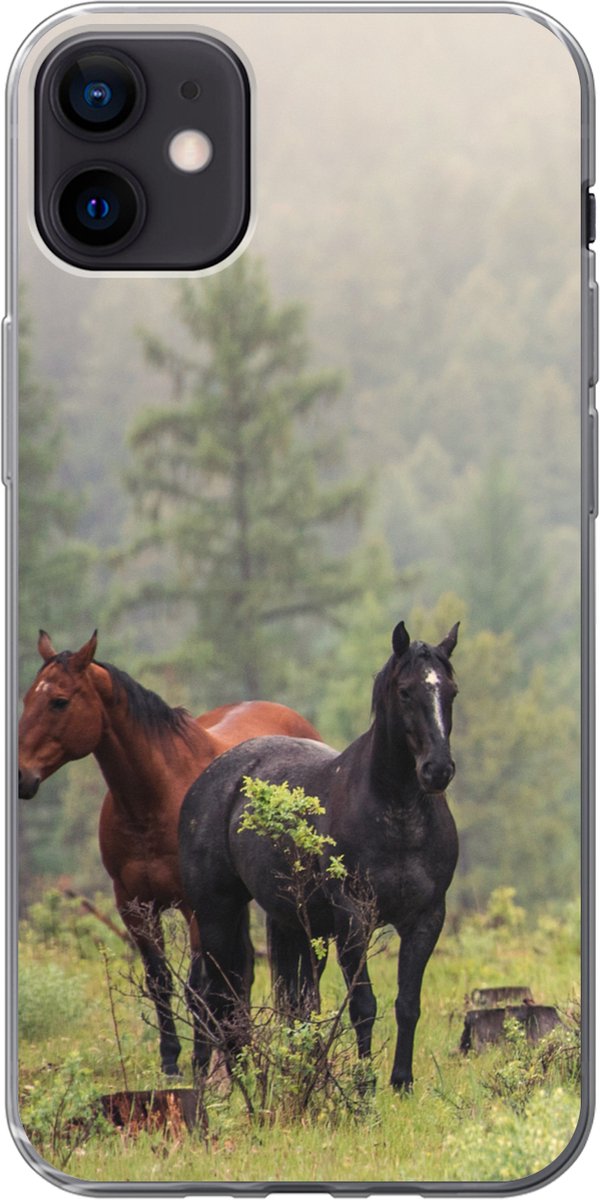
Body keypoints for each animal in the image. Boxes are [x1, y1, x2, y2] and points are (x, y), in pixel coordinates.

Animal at [18, 629, 322, 1075]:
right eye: (26, 699)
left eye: (59, 701)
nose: (21, 776)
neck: (154, 799)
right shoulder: (133, 904)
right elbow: (160, 982)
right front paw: (171, 1062)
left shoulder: (194, 905)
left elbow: (198, 986)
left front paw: (199, 1061)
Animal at [179, 620, 459, 1092]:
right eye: (405, 692)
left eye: (451, 691)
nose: (437, 770)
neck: (396, 813)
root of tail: (215, 775)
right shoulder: (353, 917)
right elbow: (363, 1006)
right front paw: (364, 1087)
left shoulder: (426, 918)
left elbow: (407, 1003)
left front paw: (401, 1083)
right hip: (216, 910)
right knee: (216, 995)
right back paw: (235, 1082)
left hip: (294, 923)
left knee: (289, 1003)